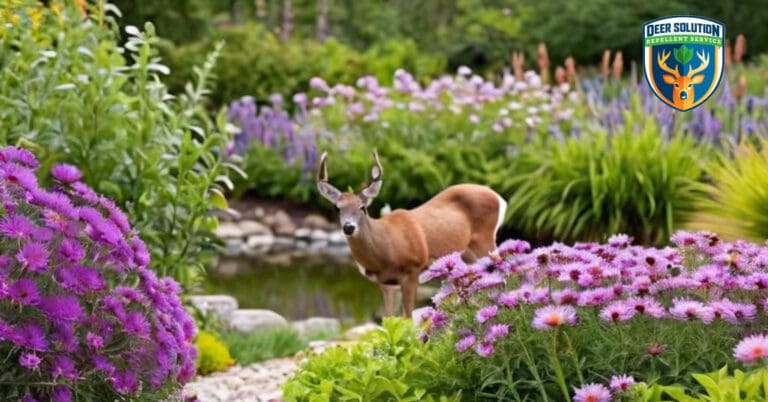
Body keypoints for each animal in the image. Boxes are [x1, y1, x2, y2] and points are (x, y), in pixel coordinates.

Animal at [317, 151, 507, 318]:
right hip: (467, 252)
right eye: (337, 208)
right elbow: (387, 320)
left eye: (362, 207)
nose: (349, 227)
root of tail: (499, 197)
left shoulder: (413, 270)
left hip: (485, 238)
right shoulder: (386, 283)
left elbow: (407, 317)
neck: (385, 251)